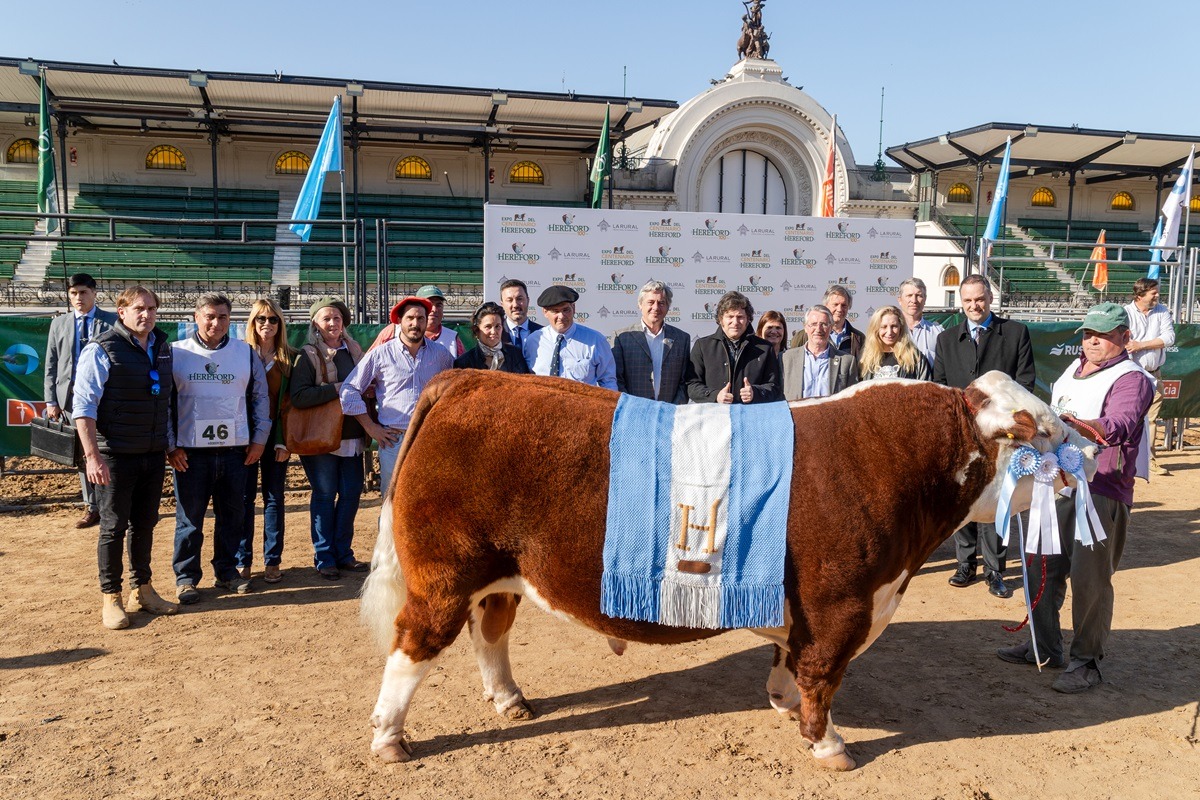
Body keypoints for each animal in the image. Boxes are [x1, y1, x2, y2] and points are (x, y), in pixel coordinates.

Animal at [355, 369, 1099, 767]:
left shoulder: (803, 606)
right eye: (1044, 433)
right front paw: (827, 744)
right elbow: (823, 674)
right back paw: (390, 737)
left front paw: (782, 703)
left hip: (503, 572)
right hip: (445, 572)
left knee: (492, 631)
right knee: (413, 645)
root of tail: (471, 377)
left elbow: (790, 662)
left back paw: (509, 699)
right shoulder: (842, 604)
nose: (1086, 461)